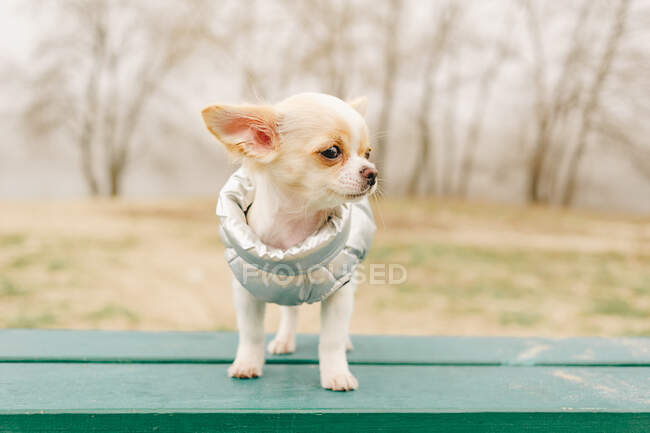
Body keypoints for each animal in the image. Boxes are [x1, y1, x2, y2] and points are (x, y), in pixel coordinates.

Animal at [201, 93, 374, 390]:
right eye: (332, 152)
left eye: (368, 154)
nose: (372, 172)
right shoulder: (246, 291)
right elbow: (251, 333)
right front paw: (247, 364)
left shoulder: (340, 289)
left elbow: (332, 339)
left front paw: (336, 374)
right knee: (289, 312)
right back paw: (284, 340)